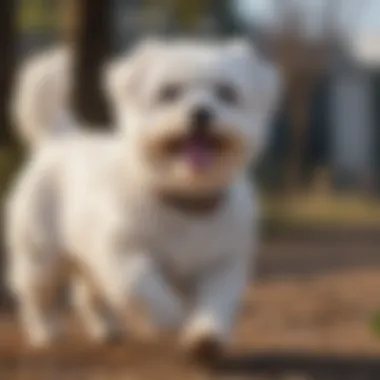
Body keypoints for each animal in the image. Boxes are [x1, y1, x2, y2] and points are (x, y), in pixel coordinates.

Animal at [4, 38, 280, 360]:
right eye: (168, 92)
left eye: (227, 93)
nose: (201, 113)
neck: (183, 200)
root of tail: (62, 138)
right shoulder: (121, 252)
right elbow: (143, 286)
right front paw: (173, 318)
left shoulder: (222, 264)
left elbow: (217, 302)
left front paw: (205, 335)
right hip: (40, 256)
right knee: (36, 296)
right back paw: (46, 332)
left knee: (87, 296)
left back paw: (107, 329)